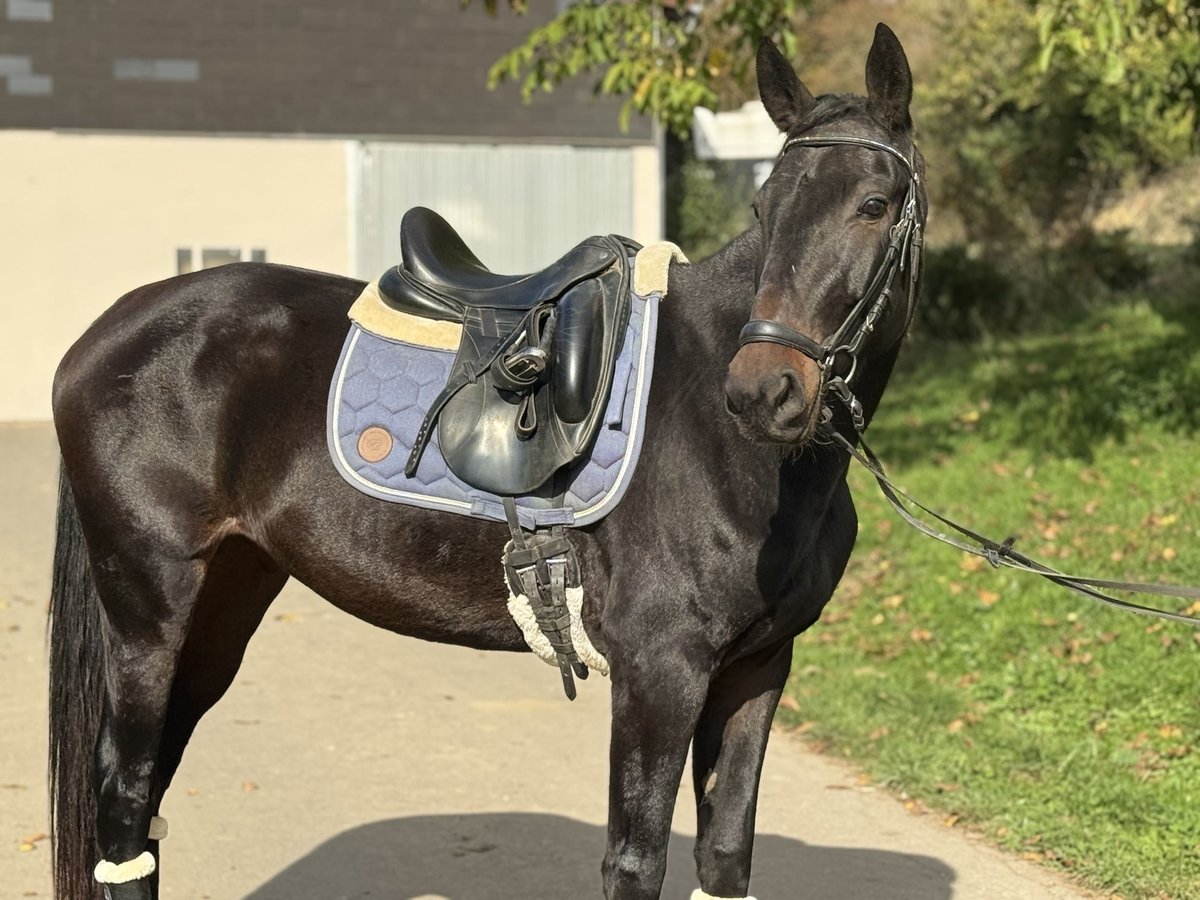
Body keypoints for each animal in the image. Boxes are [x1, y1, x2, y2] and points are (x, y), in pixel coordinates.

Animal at [48, 24, 926, 900]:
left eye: (874, 204)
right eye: (763, 205)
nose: (761, 392)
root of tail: (113, 326)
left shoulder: (756, 671)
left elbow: (727, 856)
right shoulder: (661, 673)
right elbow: (635, 860)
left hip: (224, 600)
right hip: (150, 609)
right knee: (123, 799)